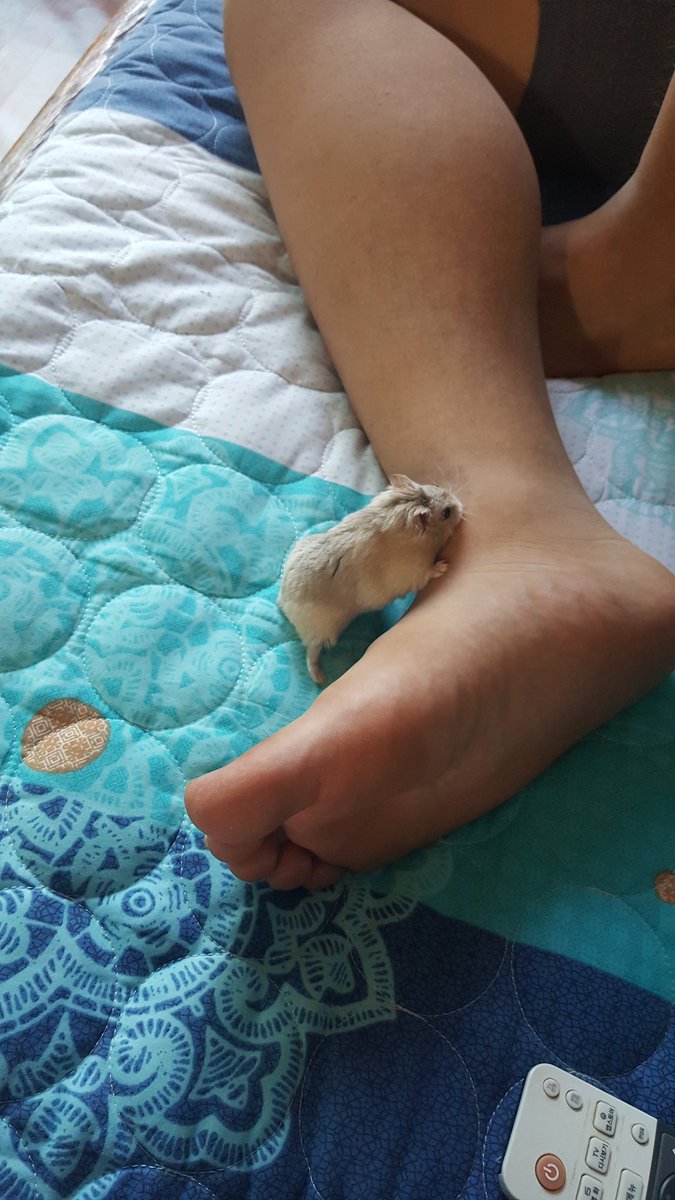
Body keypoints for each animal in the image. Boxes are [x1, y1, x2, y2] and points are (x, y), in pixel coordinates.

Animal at [278, 473, 463, 684]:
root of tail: (286, 601)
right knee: (311, 653)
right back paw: (320, 678)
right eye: (446, 513)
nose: (461, 505)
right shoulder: (414, 572)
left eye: (436, 484)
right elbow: (428, 572)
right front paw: (444, 566)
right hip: (322, 631)